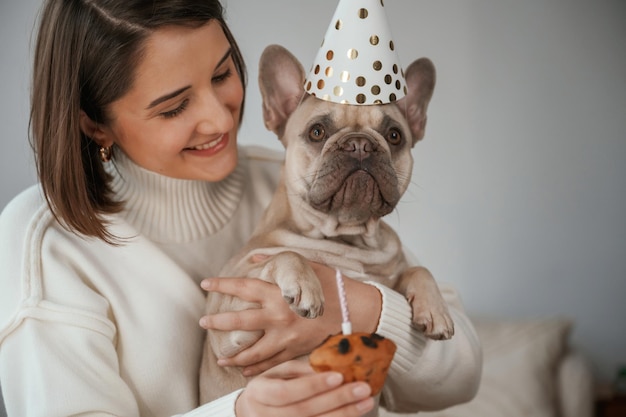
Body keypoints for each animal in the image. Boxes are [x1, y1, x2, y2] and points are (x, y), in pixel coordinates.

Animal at [200, 44, 448, 402]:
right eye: (317, 132)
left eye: (394, 135)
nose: (360, 144)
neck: (347, 237)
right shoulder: (228, 325)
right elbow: (287, 254)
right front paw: (306, 286)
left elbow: (418, 269)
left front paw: (437, 309)